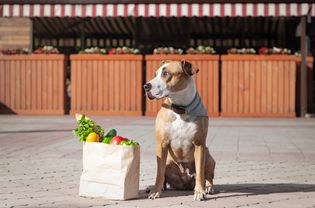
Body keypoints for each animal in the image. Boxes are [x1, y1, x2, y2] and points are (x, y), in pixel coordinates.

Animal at [144, 60, 216, 202]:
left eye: (166, 73)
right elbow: (159, 172)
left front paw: (200, 192)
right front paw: (155, 191)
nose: (146, 86)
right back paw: (155, 187)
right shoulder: (162, 144)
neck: (180, 109)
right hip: (168, 161)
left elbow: (200, 173)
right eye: (155, 74)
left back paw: (208, 187)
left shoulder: (199, 144)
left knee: (208, 176)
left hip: (209, 156)